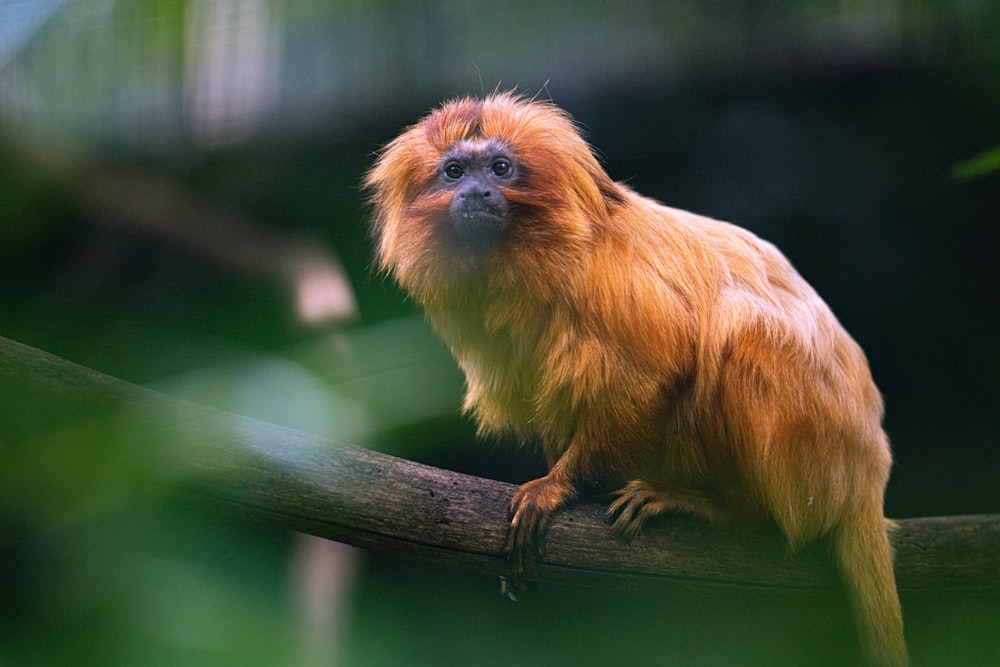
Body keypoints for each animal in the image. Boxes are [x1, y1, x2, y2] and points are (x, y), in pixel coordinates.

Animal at [366, 91, 908, 664]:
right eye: (453, 172)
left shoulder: (610, 278)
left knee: (744, 335)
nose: (475, 191)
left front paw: (559, 487)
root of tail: (867, 468)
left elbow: (652, 372)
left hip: (811, 460)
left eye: (500, 168)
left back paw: (721, 508)